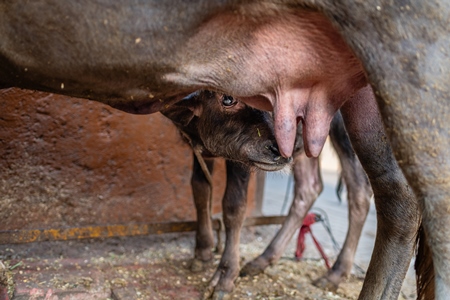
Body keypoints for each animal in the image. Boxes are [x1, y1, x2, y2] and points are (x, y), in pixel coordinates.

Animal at [0, 1, 448, 298]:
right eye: (227, 99)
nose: (278, 145)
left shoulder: (245, 159)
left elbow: (233, 207)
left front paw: (222, 274)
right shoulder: (198, 150)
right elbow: (199, 190)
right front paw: (202, 250)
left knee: (373, 193)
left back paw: (335, 273)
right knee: (310, 188)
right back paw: (264, 259)